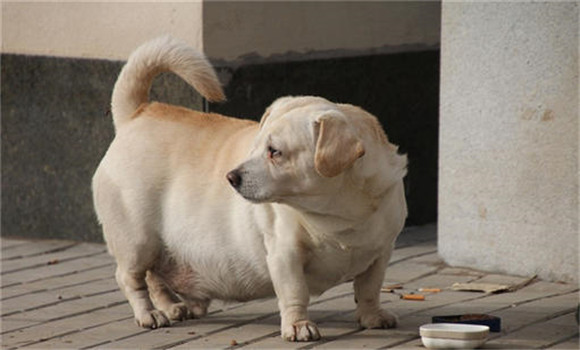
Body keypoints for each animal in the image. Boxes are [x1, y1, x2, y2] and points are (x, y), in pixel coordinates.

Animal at [92, 36, 408, 342]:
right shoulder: (285, 255)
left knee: (155, 277)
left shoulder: (381, 253)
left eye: (274, 152)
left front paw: (372, 316)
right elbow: (295, 293)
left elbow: (369, 289)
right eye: (254, 147)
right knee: (131, 278)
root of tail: (137, 114)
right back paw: (148, 314)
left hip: (157, 247)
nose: (231, 177)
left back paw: (171, 307)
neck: (339, 215)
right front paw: (298, 325)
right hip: (138, 241)